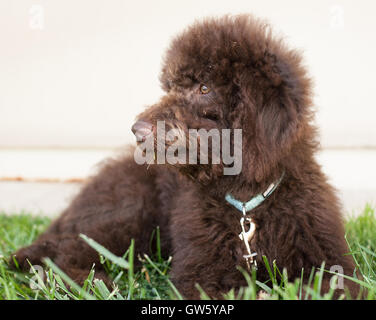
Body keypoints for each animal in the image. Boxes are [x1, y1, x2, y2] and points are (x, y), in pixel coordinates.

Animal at [10, 15, 360, 298]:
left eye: (204, 88)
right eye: (173, 86)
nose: (137, 129)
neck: (246, 205)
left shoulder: (331, 261)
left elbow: (329, 288)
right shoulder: (199, 273)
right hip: (128, 215)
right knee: (64, 252)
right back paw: (94, 284)